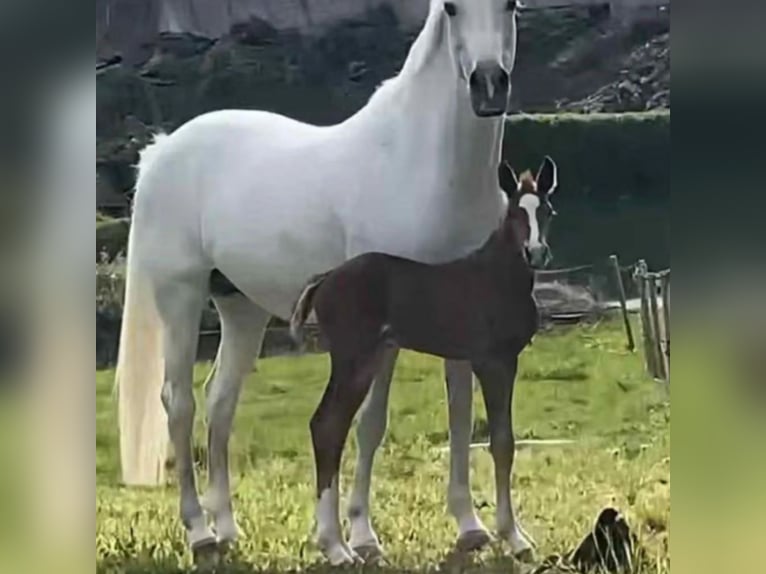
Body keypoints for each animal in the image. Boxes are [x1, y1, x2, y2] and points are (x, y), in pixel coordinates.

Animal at [116, 0, 530, 564]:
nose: (489, 86)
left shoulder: (461, 325)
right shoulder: (386, 334)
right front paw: (362, 535)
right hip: (179, 296)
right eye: (450, 8)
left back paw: (226, 527)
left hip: (240, 308)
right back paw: (200, 532)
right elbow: (371, 424)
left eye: (512, 5)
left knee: (220, 401)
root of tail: (161, 151)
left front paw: (470, 526)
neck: (419, 165)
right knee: (178, 403)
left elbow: (462, 418)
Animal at [290, 159, 559, 564]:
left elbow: (502, 441)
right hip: (353, 358)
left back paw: (337, 543)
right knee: (327, 425)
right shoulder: (492, 362)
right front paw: (514, 537)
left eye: (546, 211)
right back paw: (337, 547)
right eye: (514, 213)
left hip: (363, 361)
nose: (536, 252)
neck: (497, 276)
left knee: (329, 426)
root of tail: (324, 280)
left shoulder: (501, 362)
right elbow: (502, 443)